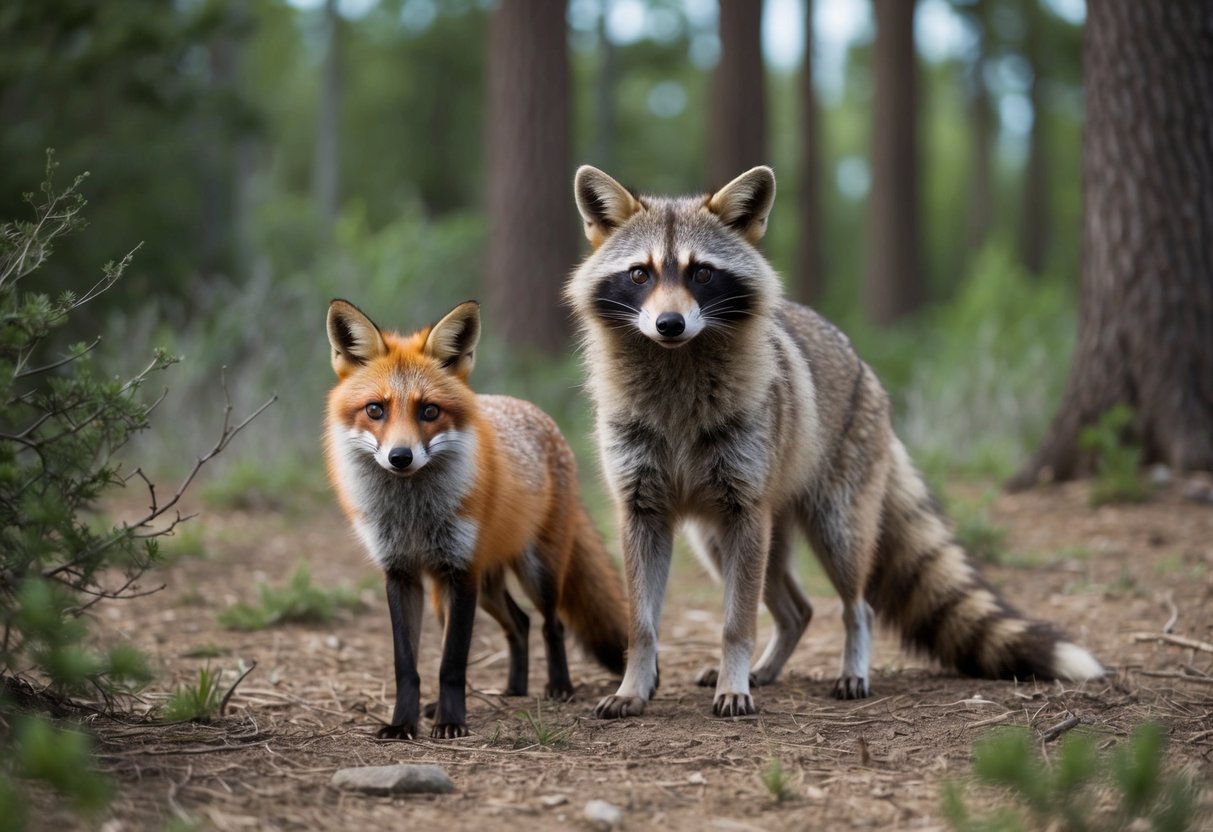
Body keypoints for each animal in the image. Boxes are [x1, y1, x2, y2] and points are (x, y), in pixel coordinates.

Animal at [324, 298, 628, 739]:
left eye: (430, 410)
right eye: (375, 410)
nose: (400, 457)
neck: (413, 514)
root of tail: (530, 409)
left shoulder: (460, 571)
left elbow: (451, 663)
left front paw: (451, 722)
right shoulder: (401, 573)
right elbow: (407, 665)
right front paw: (403, 723)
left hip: (536, 572)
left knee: (550, 624)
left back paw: (559, 687)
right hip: (469, 590)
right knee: (519, 624)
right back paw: (513, 690)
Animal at [566, 165, 1104, 721]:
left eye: (701, 274)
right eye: (640, 275)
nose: (669, 324)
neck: (675, 374)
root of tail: (867, 371)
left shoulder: (745, 506)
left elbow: (737, 623)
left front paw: (733, 676)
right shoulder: (641, 507)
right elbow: (642, 624)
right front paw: (636, 681)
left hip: (829, 524)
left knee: (854, 603)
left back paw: (845, 663)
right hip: (722, 538)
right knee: (795, 610)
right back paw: (766, 664)